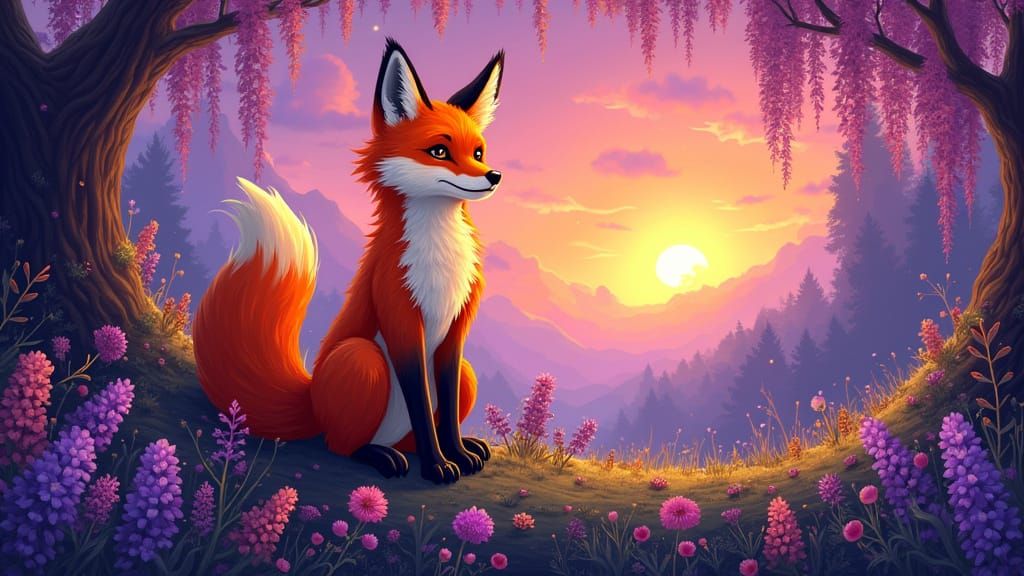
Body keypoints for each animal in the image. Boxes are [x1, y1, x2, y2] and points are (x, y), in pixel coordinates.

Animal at [192, 39, 504, 484]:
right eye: (440, 151)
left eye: (478, 151)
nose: (493, 176)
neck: (440, 262)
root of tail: (310, 399)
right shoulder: (401, 319)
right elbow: (421, 405)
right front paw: (437, 466)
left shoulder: (455, 332)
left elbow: (442, 413)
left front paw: (457, 454)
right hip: (363, 358)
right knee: (339, 445)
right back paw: (381, 456)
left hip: (467, 374)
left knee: (413, 429)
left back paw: (456, 448)